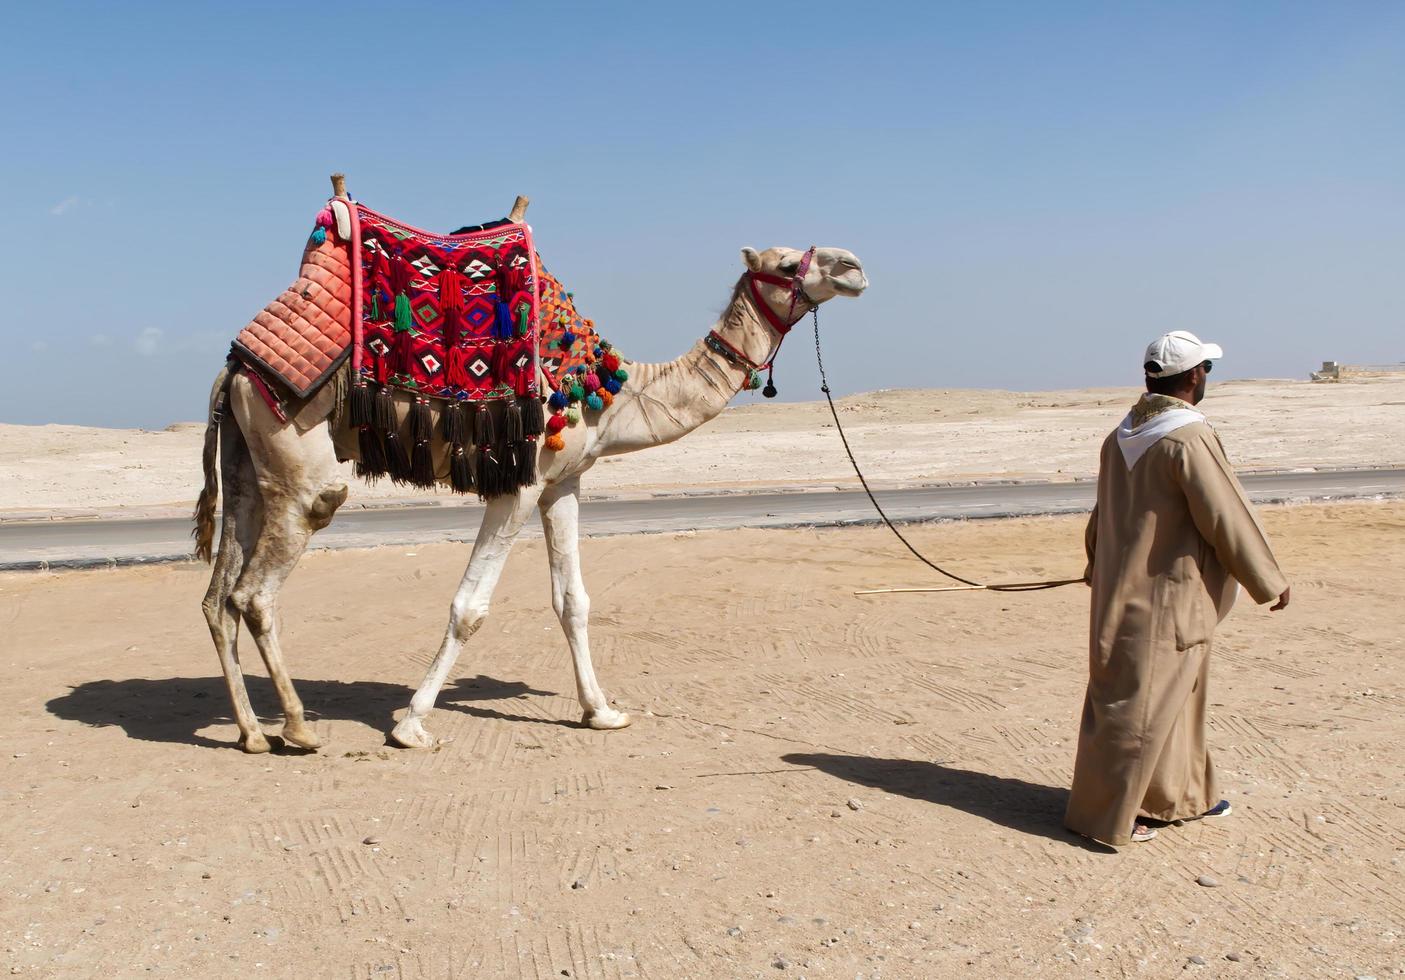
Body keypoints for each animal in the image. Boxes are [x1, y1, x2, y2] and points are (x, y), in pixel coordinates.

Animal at [192, 195, 859, 752]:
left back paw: (251, 733)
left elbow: (573, 600)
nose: (853, 265)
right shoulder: (520, 481)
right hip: (297, 449)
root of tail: (235, 367)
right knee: (261, 586)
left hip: (248, 460)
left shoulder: (563, 483)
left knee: (219, 595)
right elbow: (469, 607)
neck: (611, 391)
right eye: (786, 261)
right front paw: (412, 726)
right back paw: (298, 727)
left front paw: (601, 712)